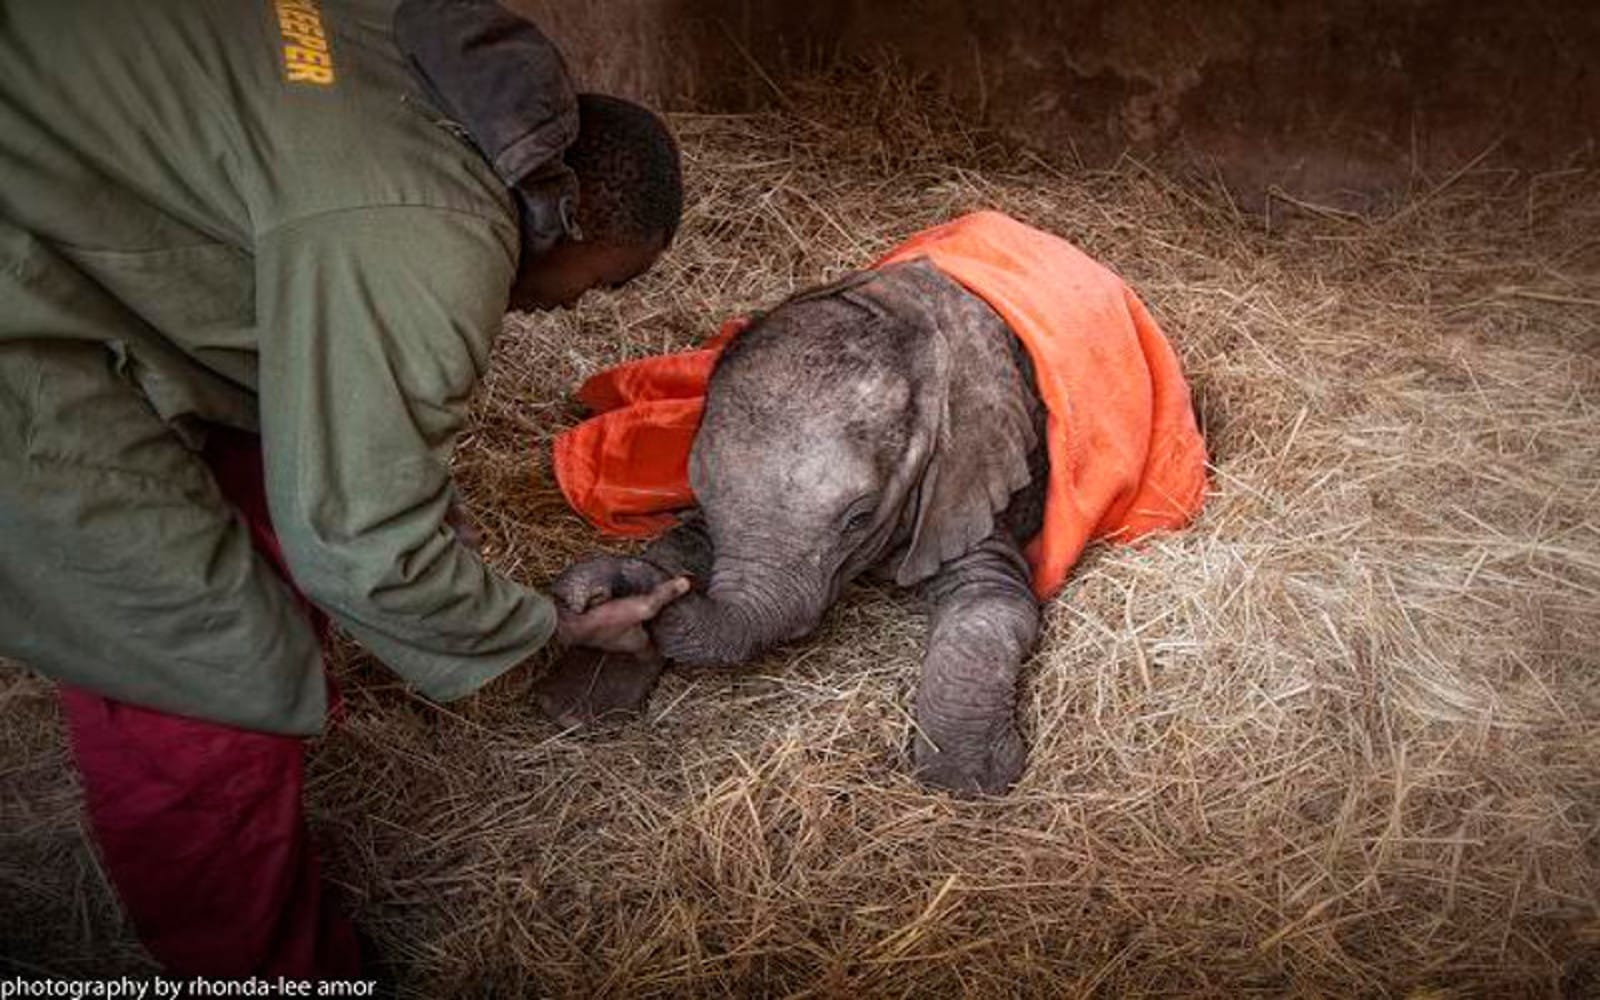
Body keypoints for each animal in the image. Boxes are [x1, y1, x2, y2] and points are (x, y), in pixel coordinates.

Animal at [537, 259, 1053, 795]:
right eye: (698, 493)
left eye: (859, 519)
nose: (588, 594)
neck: (893, 311)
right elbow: (683, 542)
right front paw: (574, 701)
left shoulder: (971, 475)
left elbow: (991, 599)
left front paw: (967, 780)